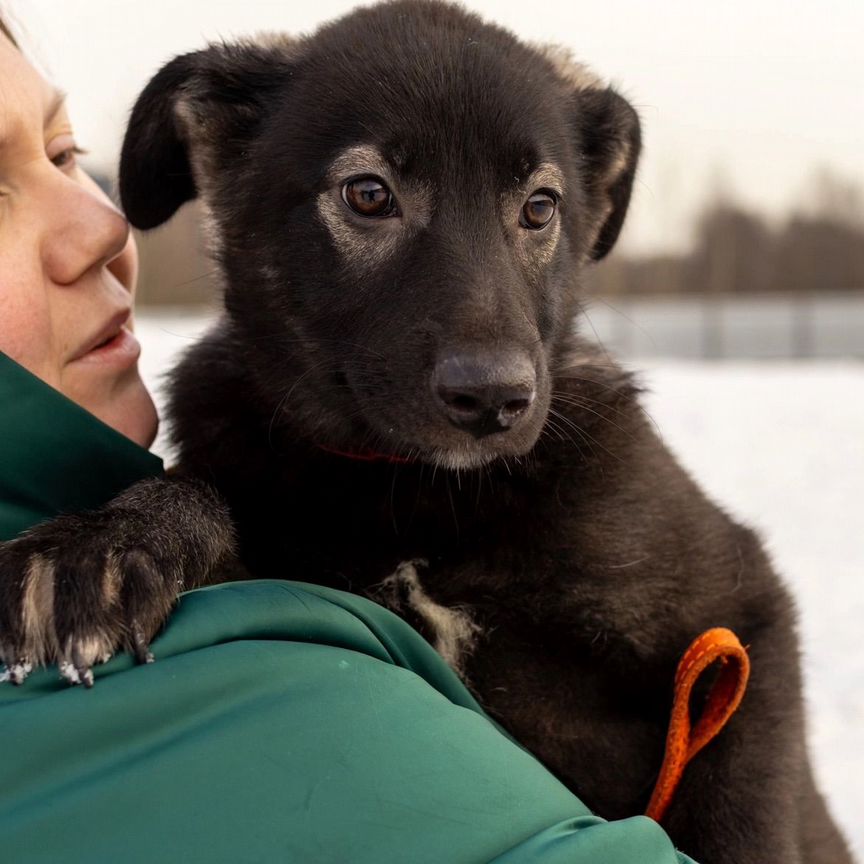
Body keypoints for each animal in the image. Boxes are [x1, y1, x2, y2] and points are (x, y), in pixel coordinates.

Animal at [0, 3, 852, 860]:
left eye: (540, 207)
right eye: (368, 194)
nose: (494, 397)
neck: (415, 490)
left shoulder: (736, 627)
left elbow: (744, 821)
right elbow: (200, 492)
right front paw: (106, 542)